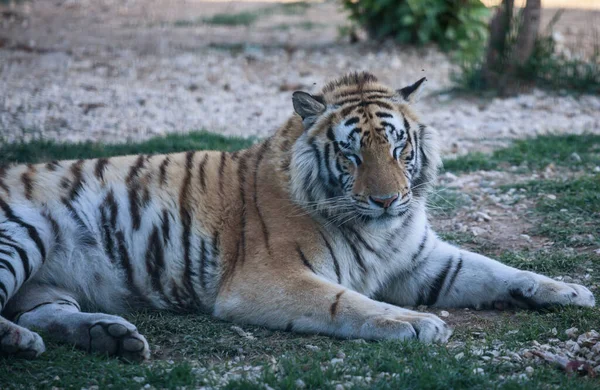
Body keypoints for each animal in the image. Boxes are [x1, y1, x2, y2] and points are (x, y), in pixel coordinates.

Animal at [0, 72, 592, 360]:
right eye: (352, 154)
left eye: (398, 148)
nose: (387, 200)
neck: (382, 230)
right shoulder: (267, 278)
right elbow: (346, 302)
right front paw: (416, 323)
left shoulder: (421, 261)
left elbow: (495, 269)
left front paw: (570, 290)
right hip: (22, 234)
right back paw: (25, 343)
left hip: (47, 282)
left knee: (43, 312)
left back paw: (110, 337)